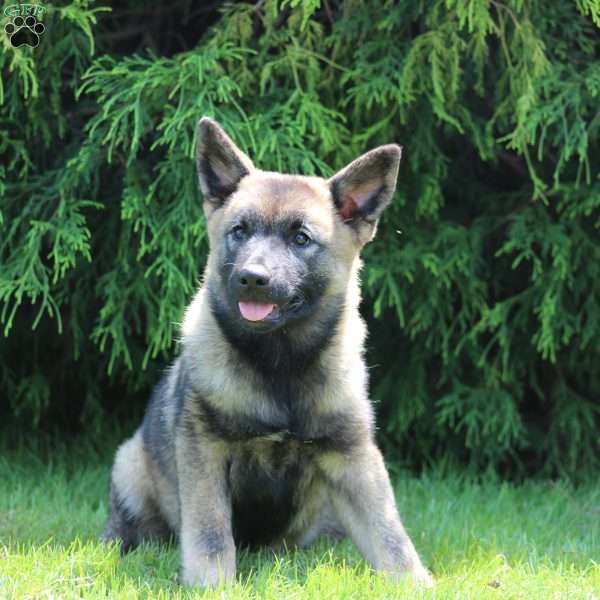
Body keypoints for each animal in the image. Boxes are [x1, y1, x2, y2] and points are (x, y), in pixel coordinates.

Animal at [102, 115, 432, 588]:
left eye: (301, 238)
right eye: (239, 231)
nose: (252, 278)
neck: (281, 365)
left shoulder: (352, 456)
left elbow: (389, 533)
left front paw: (413, 582)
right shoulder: (205, 451)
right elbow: (210, 532)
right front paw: (212, 585)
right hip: (130, 462)